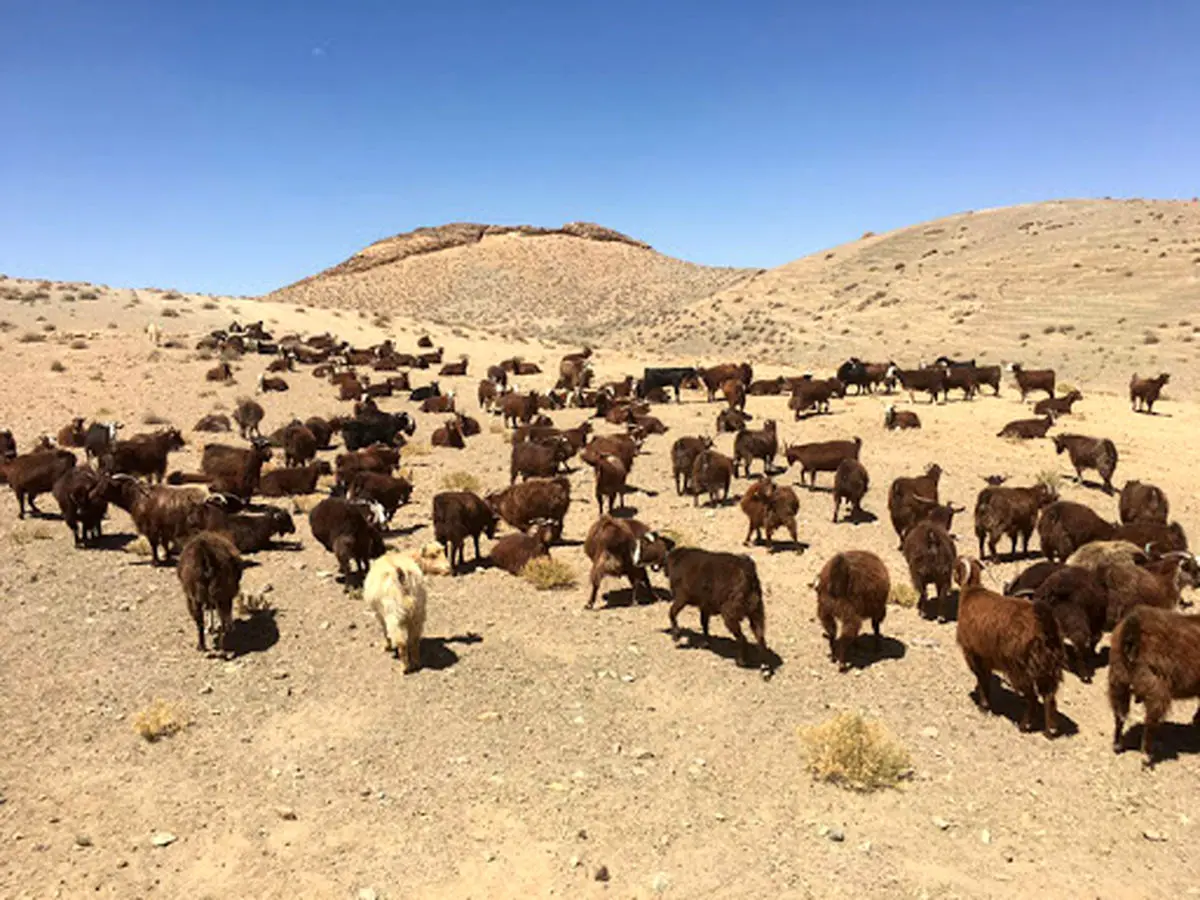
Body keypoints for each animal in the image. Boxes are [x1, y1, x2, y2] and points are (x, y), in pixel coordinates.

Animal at [1104, 609, 1200, 763]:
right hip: (1156, 689)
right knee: (1150, 722)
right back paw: (1146, 755)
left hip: (1118, 680)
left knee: (1120, 715)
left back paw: (1117, 745)